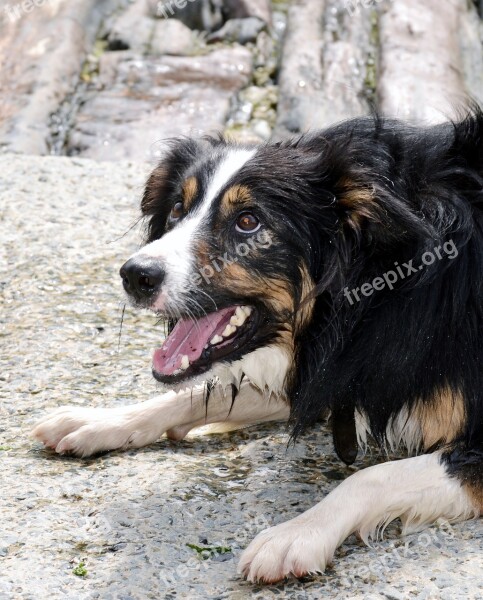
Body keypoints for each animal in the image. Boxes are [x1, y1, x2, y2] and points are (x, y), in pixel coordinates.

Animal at [32, 110, 482, 584]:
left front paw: (296, 535)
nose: (135, 275)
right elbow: (193, 393)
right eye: (177, 209)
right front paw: (98, 420)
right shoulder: (330, 372)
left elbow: (370, 477)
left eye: (249, 221)